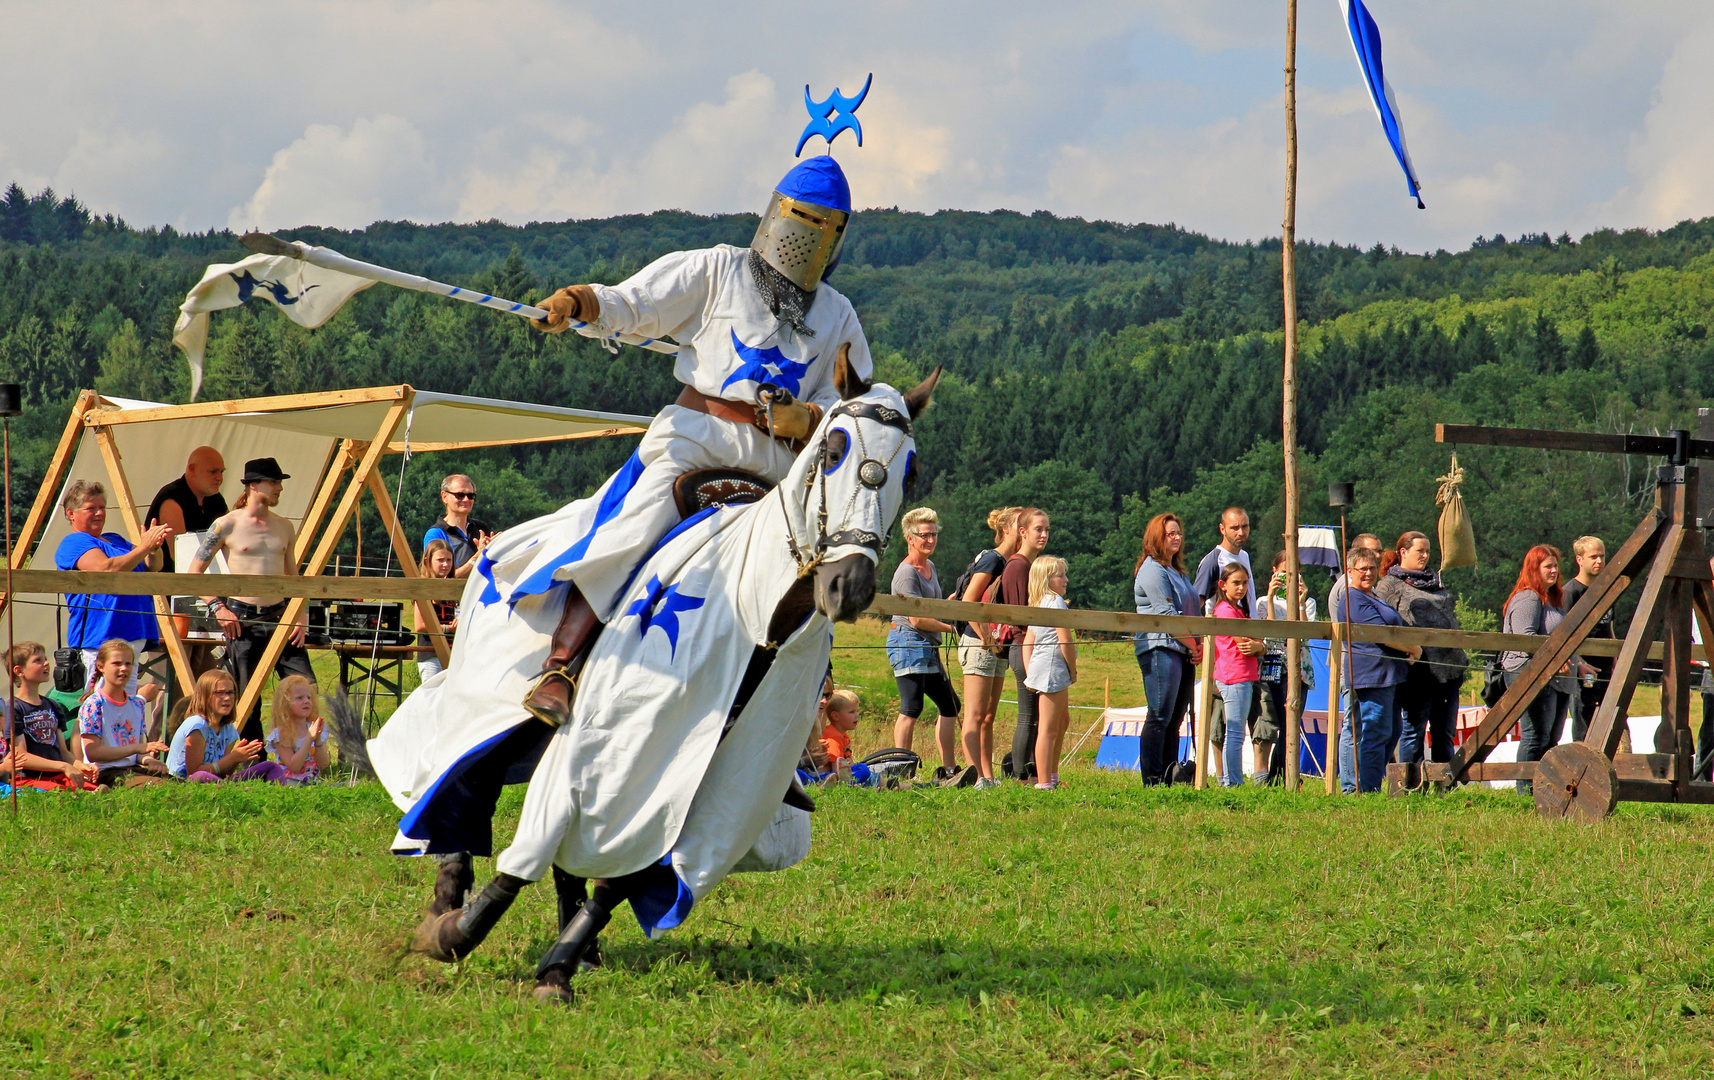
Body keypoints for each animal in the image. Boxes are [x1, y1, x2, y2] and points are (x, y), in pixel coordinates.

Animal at [378, 360, 939, 1001]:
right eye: (835, 446)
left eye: (910, 468)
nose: (850, 584)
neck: (749, 601)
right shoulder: (605, 747)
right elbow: (531, 851)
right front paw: (455, 934)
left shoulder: (687, 778)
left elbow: (622, 876)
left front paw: (561, 962)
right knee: (461, 767)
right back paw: (448, 889)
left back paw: (578, 943)